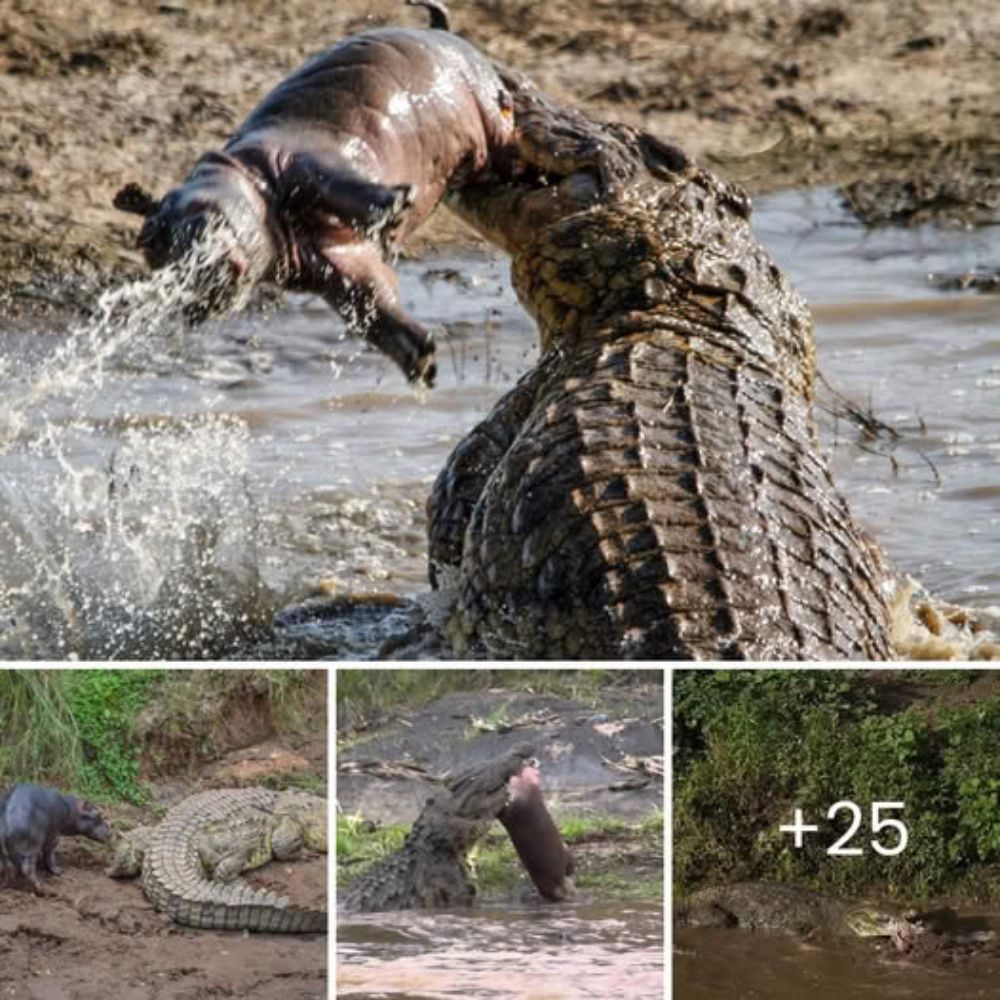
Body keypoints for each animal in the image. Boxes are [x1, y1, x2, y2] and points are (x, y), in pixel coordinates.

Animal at [115, 0, 516, 384]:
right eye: (148, 245)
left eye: (161, 229)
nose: (186, 296)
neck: (242, 175)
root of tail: (440, 31)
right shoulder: (325, 260)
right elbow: (369, 299)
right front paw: (421, 361)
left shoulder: (295, 159)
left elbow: (334, 183)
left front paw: (396, 207)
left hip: (486, 107)